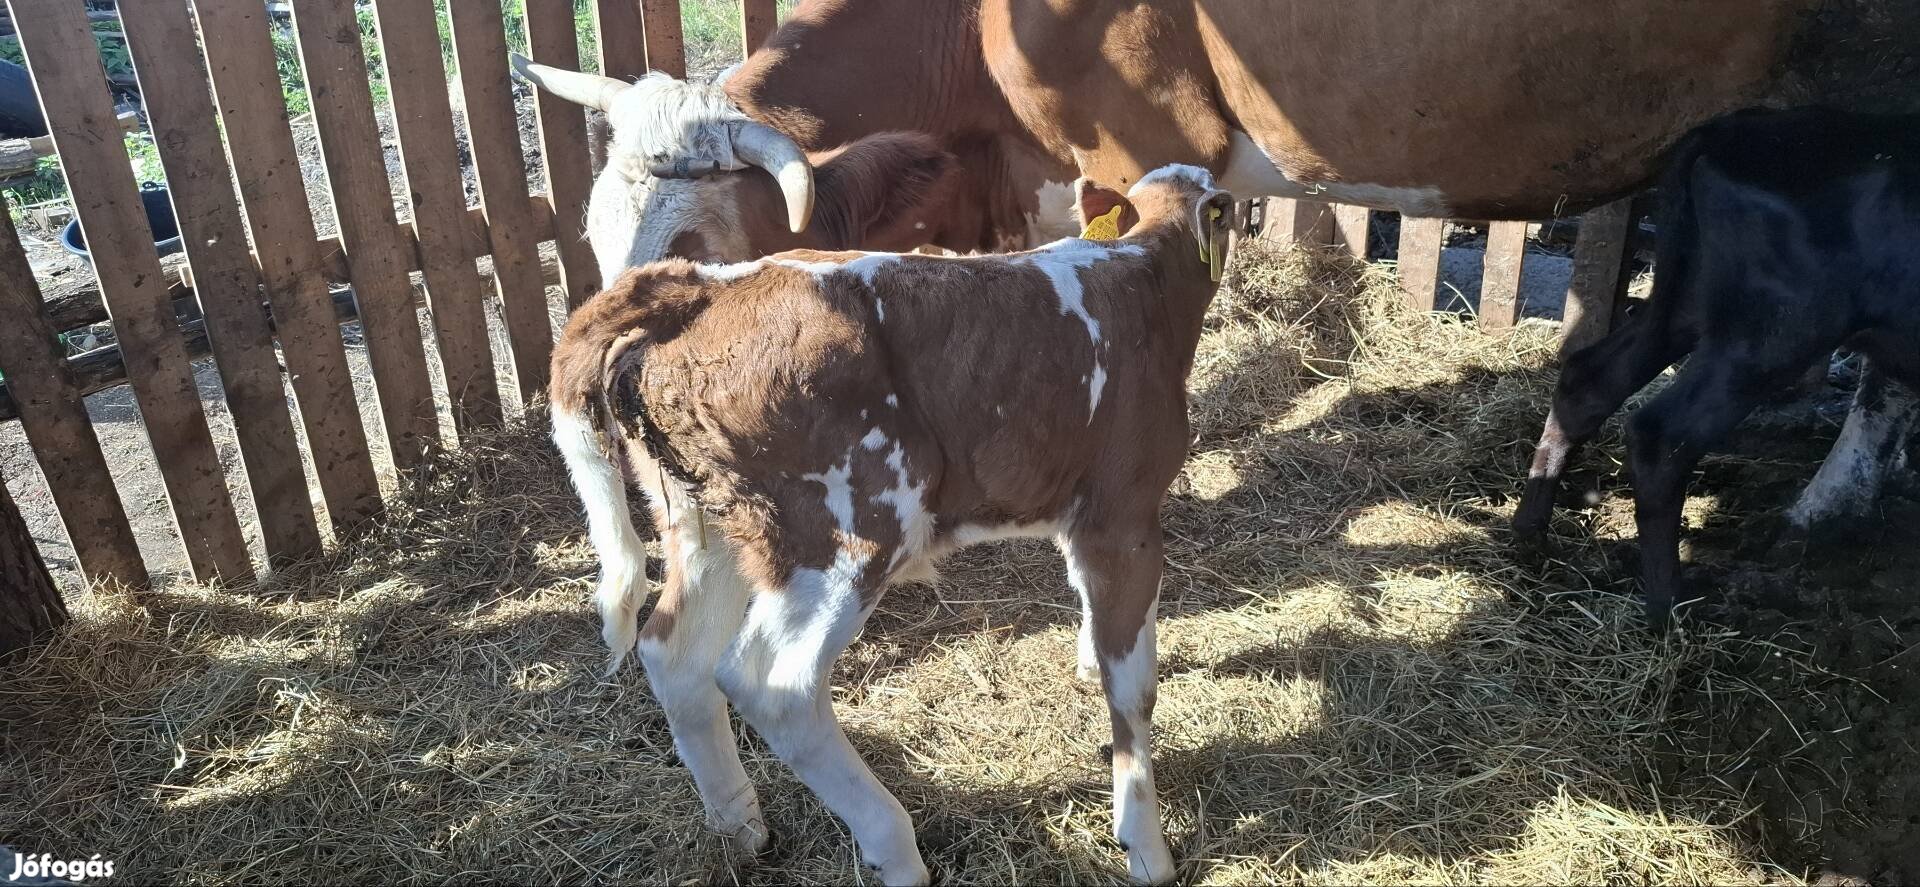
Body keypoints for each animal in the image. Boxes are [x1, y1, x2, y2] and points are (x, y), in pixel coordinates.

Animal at [549, 164, 1236, 879]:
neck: (1140, 279)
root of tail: (700, 287)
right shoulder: (1123, 514)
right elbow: (1132, 687)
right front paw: (1146, 845)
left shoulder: (1081, 519)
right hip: (848, 529)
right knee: (774, 684)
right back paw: (896, 850)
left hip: (708, 523)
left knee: (674, 655)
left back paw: (742, 828)